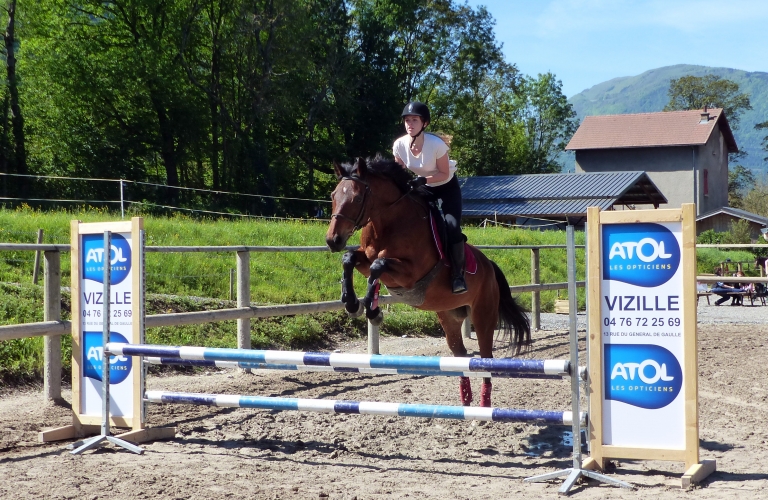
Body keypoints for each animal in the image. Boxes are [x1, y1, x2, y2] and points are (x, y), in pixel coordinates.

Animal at [322, 156, 528, 406]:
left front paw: (373, 310)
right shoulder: (366, 258)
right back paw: (466, 400)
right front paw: (352, 303)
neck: (388, 222)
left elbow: (377, 266)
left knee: (486, 358)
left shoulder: (410, 273)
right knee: (460, 354)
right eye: (333, 195)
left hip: (483, 316)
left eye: (358, 197)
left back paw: (483, 405)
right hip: (449, 316)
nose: (333, 240)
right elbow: (350, 259)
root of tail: (489, 265)